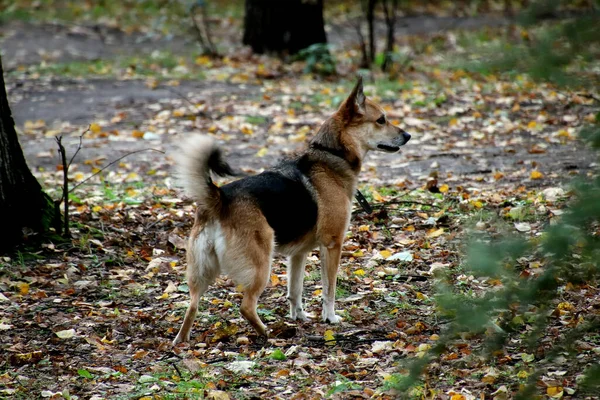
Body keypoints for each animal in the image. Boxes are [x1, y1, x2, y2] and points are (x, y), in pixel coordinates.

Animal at [171, 77, 410, 344]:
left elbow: (295, 290)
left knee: (192, 306)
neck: (331, 155)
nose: (408, 135)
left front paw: (299, 317)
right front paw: (329, 318)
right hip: (260, 266)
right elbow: (329, 289)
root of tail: (219, 199)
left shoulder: (298, 254)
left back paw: (181, 341)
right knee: (246, 307)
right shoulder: (332, 244)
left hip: (201, 272)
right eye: (381, 120)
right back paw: (268, 334)